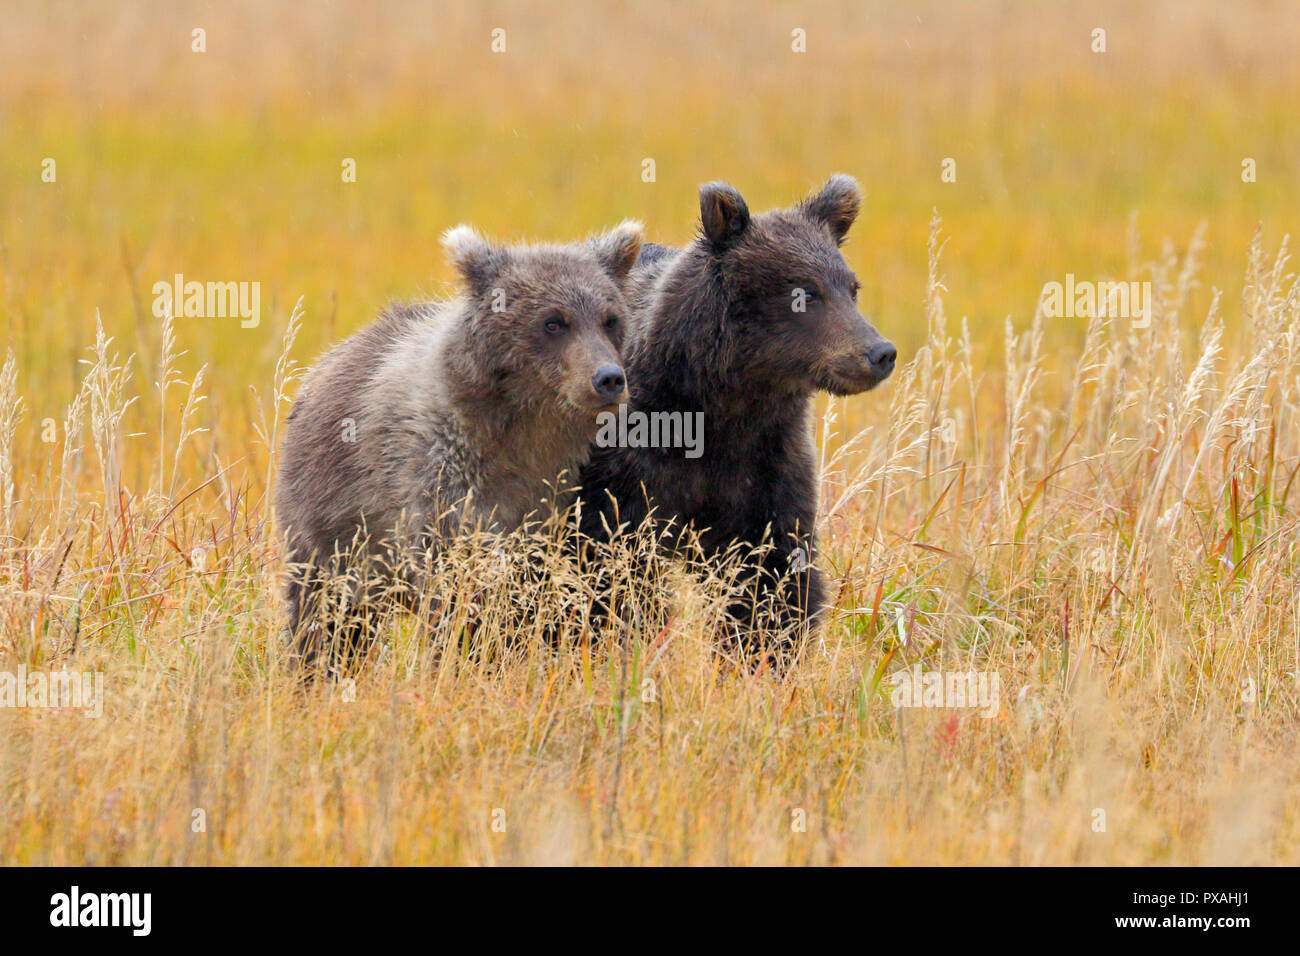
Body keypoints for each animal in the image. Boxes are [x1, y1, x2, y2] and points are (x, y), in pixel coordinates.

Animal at [277, 220, 644, 669]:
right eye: (554, 322)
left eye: (610, 320)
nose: (608, 378)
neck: (523, 431)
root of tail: (327, 362)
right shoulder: (441, 477)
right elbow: (456, 581)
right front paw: (462, 653)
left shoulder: (557, 495)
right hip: (333, 511)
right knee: (328, 610)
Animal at [576, 175, 895, 660]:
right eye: (806, 292)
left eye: (851, 287)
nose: (879, 352)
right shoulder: (627, 463)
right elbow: (615, 563)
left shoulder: (767, 458)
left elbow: (773, 569)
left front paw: (764, 651)